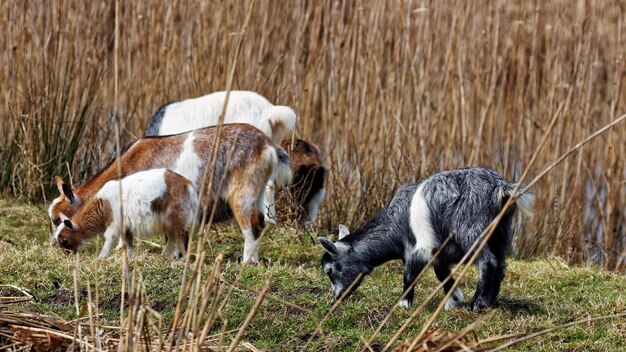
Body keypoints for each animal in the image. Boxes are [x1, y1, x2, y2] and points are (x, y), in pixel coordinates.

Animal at [53, 169, 195, 260]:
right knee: (172, 236)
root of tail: (188, 184)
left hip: (176, 216)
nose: (67, 255)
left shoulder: (115, 222)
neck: (103, 204)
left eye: (65, 241)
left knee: (181, 235)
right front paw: (131, 256)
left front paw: (102, 256)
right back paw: (166, 256)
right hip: (168, 221)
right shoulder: (126, 225)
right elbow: (127, 240)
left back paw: (182, 260)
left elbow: (110, 237)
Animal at [322, 166, 532, 312]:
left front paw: (404, 304)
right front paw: (454, 299)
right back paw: (488, 302)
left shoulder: (418, 248)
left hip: (471, 230)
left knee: (487, 262)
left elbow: (410, 273)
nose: (337, 297)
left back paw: (477, 304)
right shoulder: (439, 251)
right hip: (501, 232)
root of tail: (500, 187)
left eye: (329, 270)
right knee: (500, 266)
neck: (395, 223)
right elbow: (441, 272)